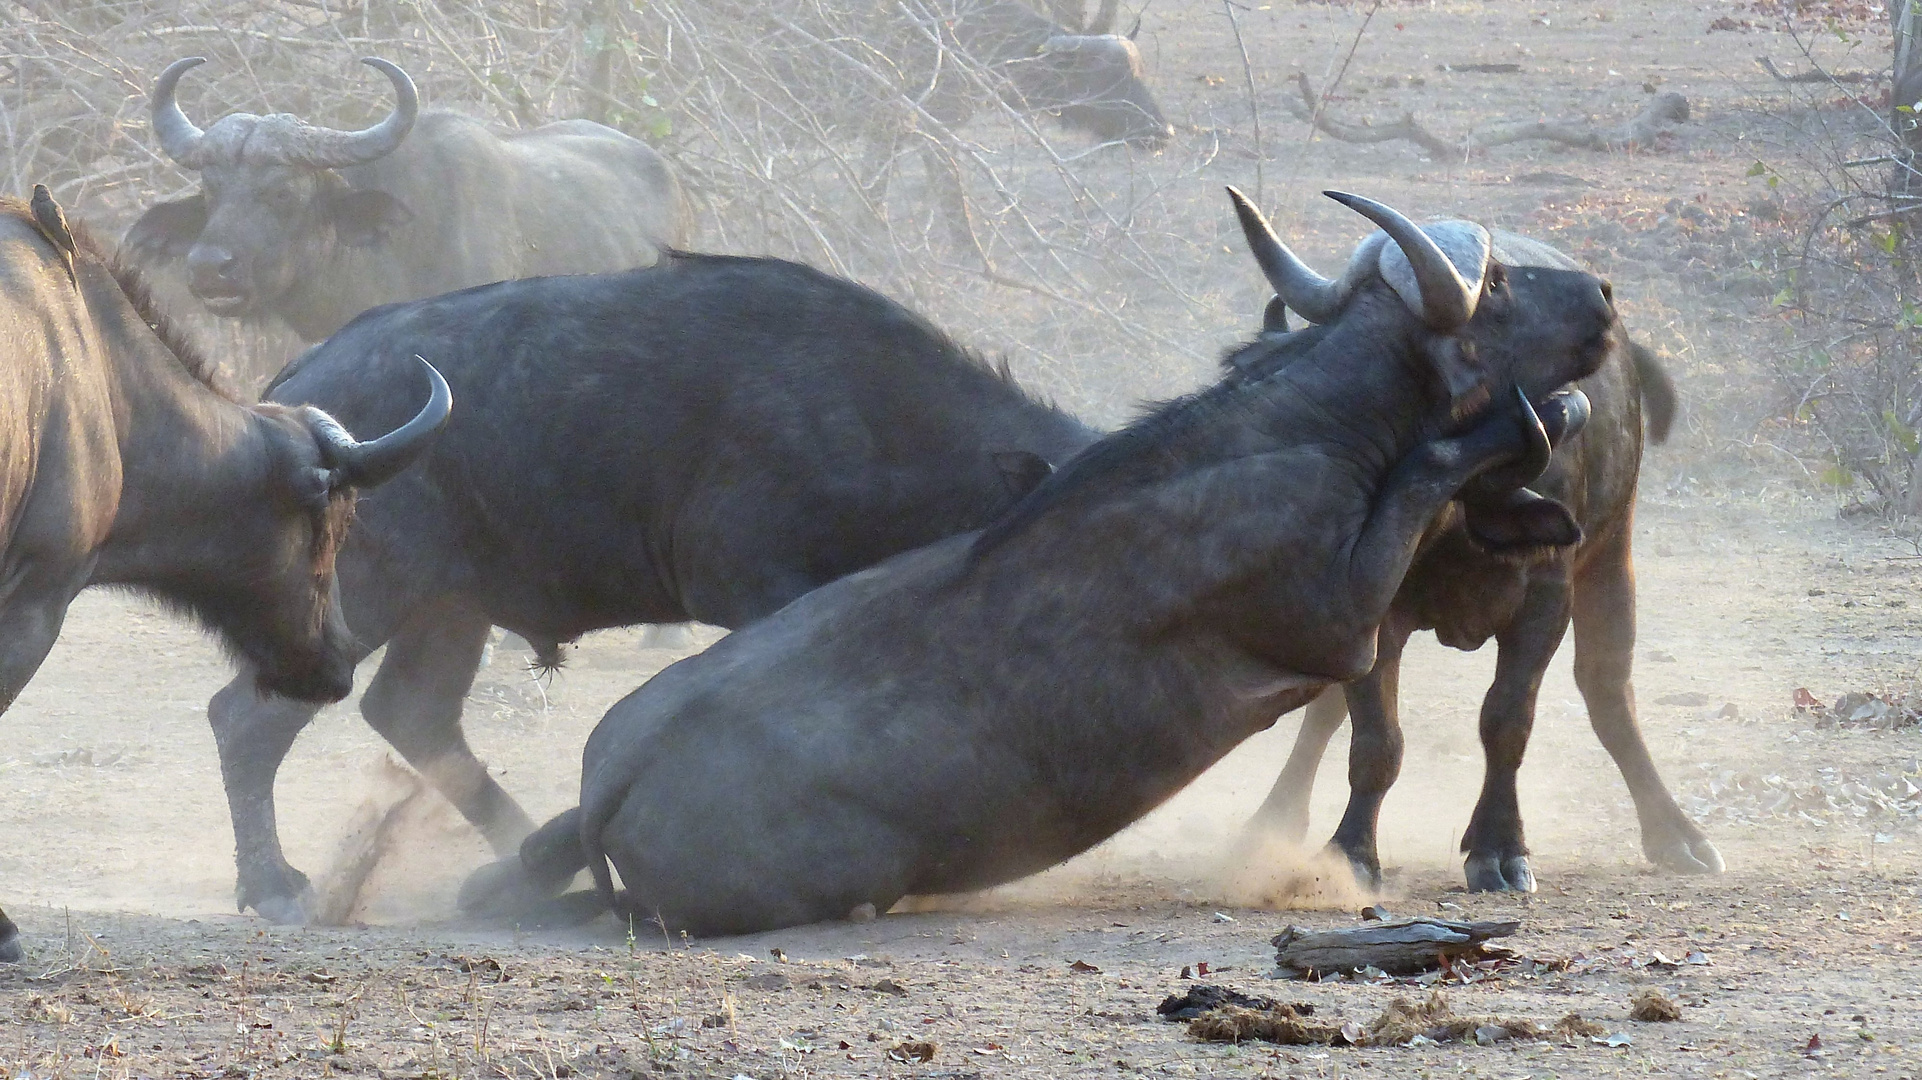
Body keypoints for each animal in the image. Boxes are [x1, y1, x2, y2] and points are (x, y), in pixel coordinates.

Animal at [204, 249, 1107, 914]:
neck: (880, 419)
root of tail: (298, 389)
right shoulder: (759, 588)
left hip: (450, 604)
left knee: (411, 711)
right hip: (368, 591)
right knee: (248, 719)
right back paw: (272, 887)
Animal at [461, 187, 1622, 933]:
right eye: (1500, 286)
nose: (1605, 298)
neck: (1308, 423)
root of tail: (619, 775)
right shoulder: (1342, 616)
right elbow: (1429, 473)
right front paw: (1528, 419)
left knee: (540, 856)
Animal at [1245, 228, 1729, 891]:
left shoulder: (1545, 601)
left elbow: (1506, 721)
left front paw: (1500, 847)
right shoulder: (1374, 610)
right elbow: (1374, 739)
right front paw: (1352, 852)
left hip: (1613, 552)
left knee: (1608, 691)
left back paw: (1677, 835)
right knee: (1326, 710)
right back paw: (1273, 818)